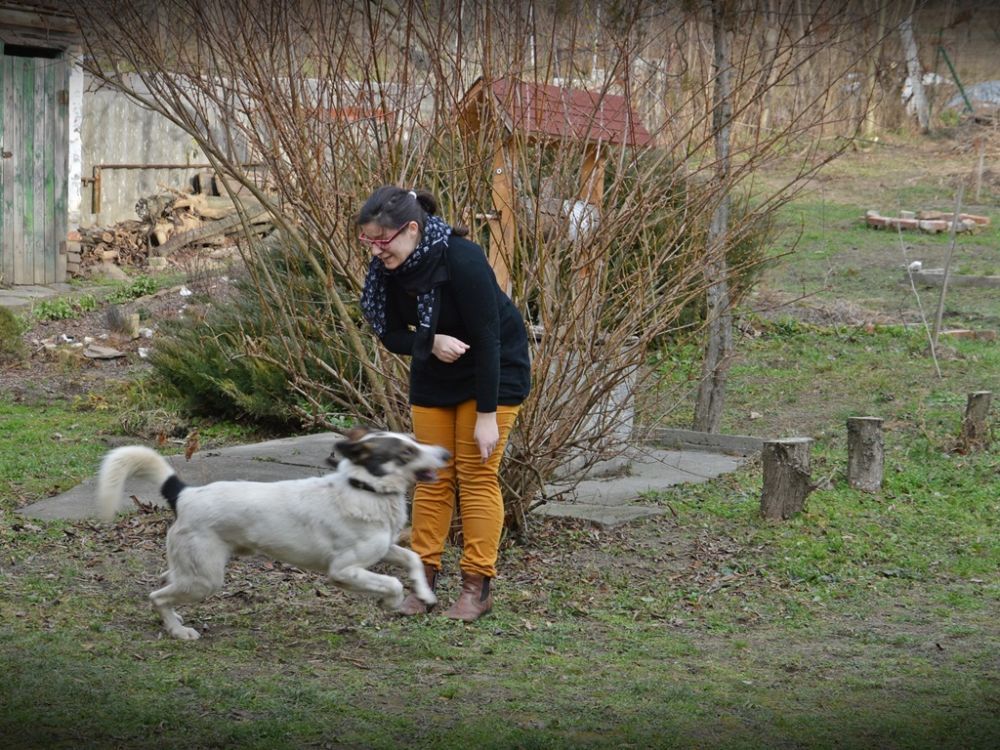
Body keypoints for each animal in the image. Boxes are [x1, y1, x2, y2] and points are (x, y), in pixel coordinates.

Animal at [96, 427, 450, 640]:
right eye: (406, 452)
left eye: (415, 441)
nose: (446, 453)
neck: (366, 488)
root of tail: (185, 494)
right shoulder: (343, 571)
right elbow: (392, 583)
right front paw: (391, 602)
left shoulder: (384, 549)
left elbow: (414, 559)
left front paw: (425, 594)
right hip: (206, 579)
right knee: (156, 596)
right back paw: (178, 631)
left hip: (193, 569)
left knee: (165, 582)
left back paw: (176, 620)